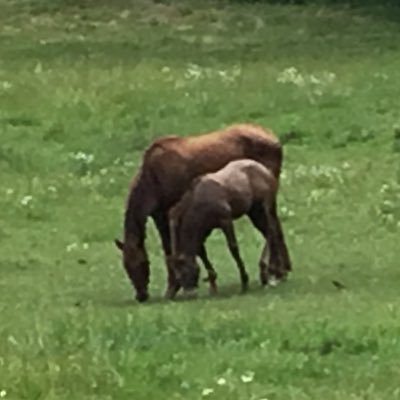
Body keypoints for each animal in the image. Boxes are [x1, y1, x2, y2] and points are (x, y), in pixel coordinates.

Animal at [167, 159, 292, 296]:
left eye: (186, 270)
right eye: (178, 276)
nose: (189, 293)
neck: (199, 201)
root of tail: (265, 170)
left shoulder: (225, 220)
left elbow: (233, 248)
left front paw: (244, 281)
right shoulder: (205, 230)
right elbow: (201, 252)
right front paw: (213, 283)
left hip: (263, 206)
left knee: (271, 230)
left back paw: (266, 271)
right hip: (253, 212)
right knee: (270, 231)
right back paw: (276, 272)